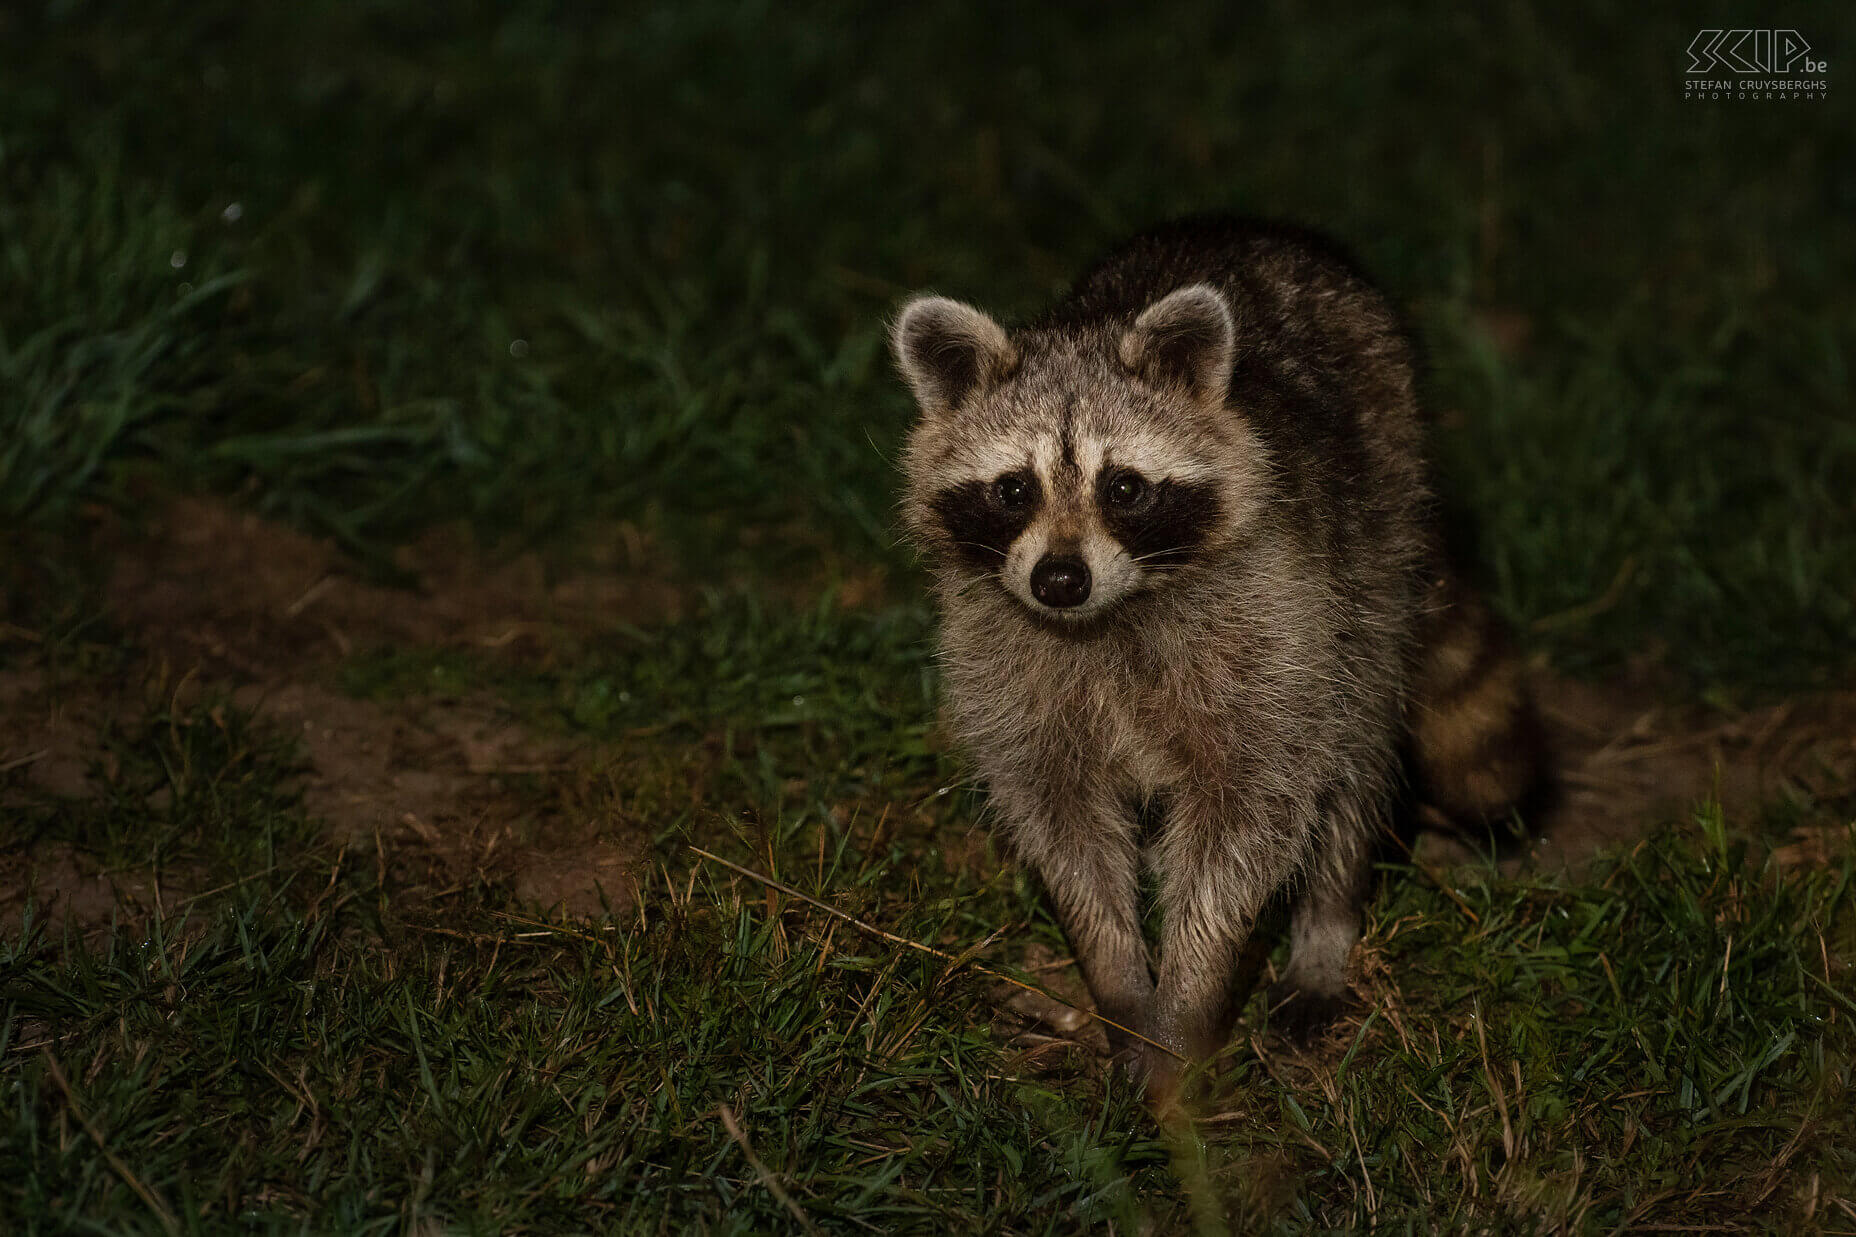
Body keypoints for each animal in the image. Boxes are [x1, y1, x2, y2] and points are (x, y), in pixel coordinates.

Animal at [890, 216, 1544, 1092]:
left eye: (1124, 488)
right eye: (1013, 489)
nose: (1059, 579)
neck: (1109, 616)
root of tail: (1261, 228)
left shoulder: (1271, 629)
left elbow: (1245, 820)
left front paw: (1187, 1006)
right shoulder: (1007, 660)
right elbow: (1062, 822)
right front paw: (1119, 983)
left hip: (1377, 542)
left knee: (1354, 747)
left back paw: (1325, 922)